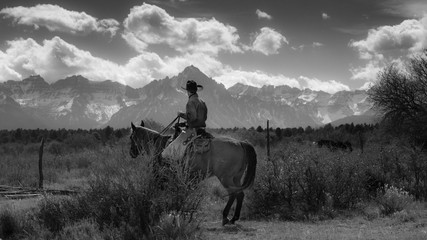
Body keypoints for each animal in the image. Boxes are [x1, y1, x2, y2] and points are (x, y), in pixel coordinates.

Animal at [129, 122, 258, 225]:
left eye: (131, 137)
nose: (131, 153)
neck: (158, 146)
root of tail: (241, 143)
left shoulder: (161, 178)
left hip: (226, 178)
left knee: (233, 194)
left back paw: (225, 217)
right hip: (236, 177)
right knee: (240, 194)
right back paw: (234, 218)